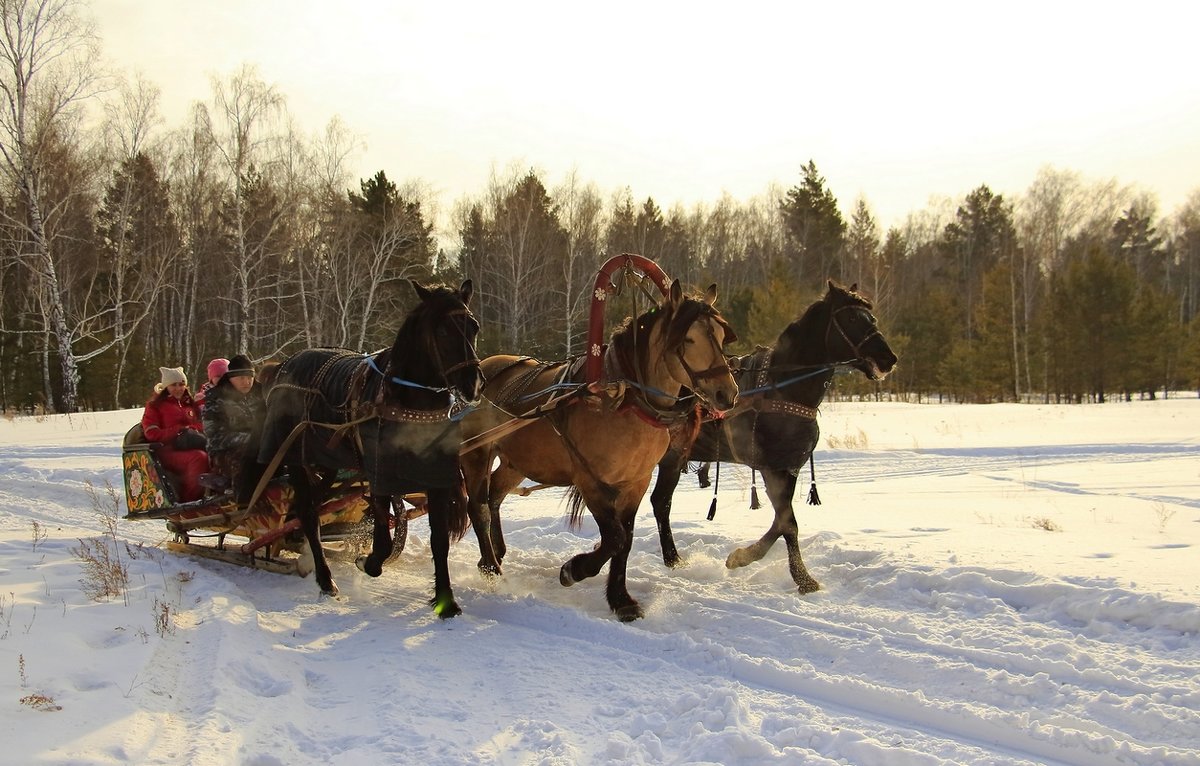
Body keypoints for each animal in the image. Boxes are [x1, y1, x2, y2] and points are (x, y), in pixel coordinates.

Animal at [258, 280, 482, 619]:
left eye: (474, 327)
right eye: (443, 331)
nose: (473, 384)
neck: (408, 400)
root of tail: (285, 365)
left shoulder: (435, 477)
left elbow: (439, 540)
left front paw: (446, 601)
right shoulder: (380, 476)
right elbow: (384, 540)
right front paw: (368, 562)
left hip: (327, 463)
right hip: (295, 458)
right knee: (309, 514)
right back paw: (325, 580)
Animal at [458, 282, 739, 624]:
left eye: (722, 337)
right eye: (688, 339)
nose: (728, 393)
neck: (622, 399)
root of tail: (485, 367)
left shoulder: (636, 481)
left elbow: (625, 540)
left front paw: (621, 599)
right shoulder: (590, 480)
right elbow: (615, 538)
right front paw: (574, 569)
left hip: (517, 461)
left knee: (495, 496)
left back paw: (497, 553)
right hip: (476, 454)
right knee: (478, 507)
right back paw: (490, 567)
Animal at [652, 280, 897, 595]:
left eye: (873, 318)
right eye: (852, 318)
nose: (887, 359)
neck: (783, 388)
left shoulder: (788, 467)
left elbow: (782, 521)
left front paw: (742, 557)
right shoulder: (772, 468)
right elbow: (788, 522)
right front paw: (803, 579)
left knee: (660, 503)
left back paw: (673, 560)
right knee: (658, 502)